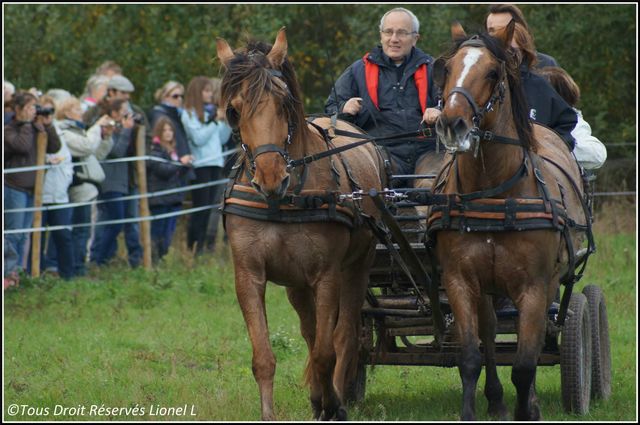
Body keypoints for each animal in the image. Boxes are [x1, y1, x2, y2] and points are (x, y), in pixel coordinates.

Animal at [215, 28, 384, 420]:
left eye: (284, 102)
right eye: (233, 110)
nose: (270, 177)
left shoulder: (328, 275)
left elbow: (326, 350)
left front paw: (332, 403)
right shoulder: (248, 274)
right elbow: (264, 356)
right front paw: (271, 412)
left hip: (358, 266)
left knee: (344, 333)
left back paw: (334, 394)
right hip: (296, 282)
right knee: (310, 330)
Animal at [430, 23, 592, 420]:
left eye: (492, 72)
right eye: (446, 67)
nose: (451, 124)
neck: (493, 194)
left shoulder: (533, 286)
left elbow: (524, 364)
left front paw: (527, 407)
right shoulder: (460, 281)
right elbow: (470, 357)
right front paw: (476, 408)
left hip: (548, 284)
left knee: (534, 336)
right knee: (490, 332)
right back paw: (496, 399)